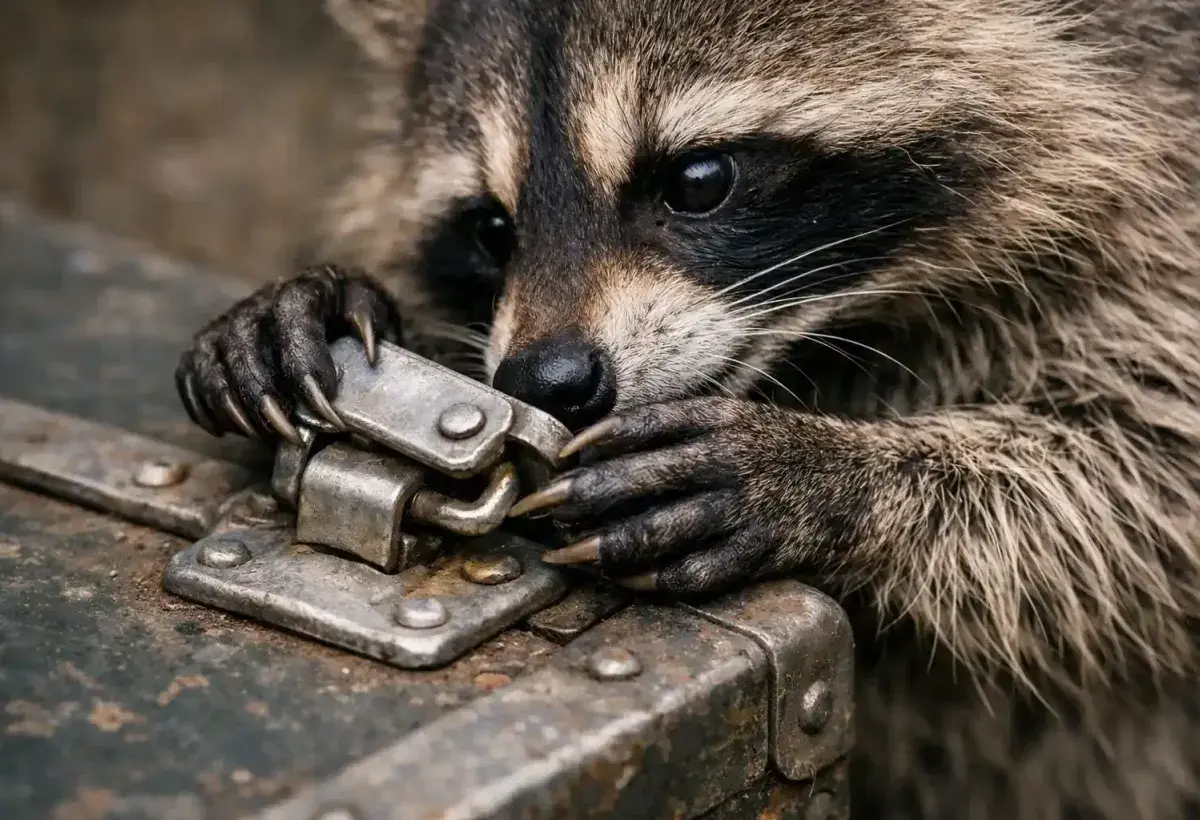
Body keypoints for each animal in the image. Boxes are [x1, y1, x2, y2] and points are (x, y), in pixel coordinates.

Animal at [173, 0, 1200, 817]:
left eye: (699, 180)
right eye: (492, 226)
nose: (548, 381)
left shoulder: (1164, 212)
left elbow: (1152, 477)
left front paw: (826, 475)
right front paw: (327, 303)